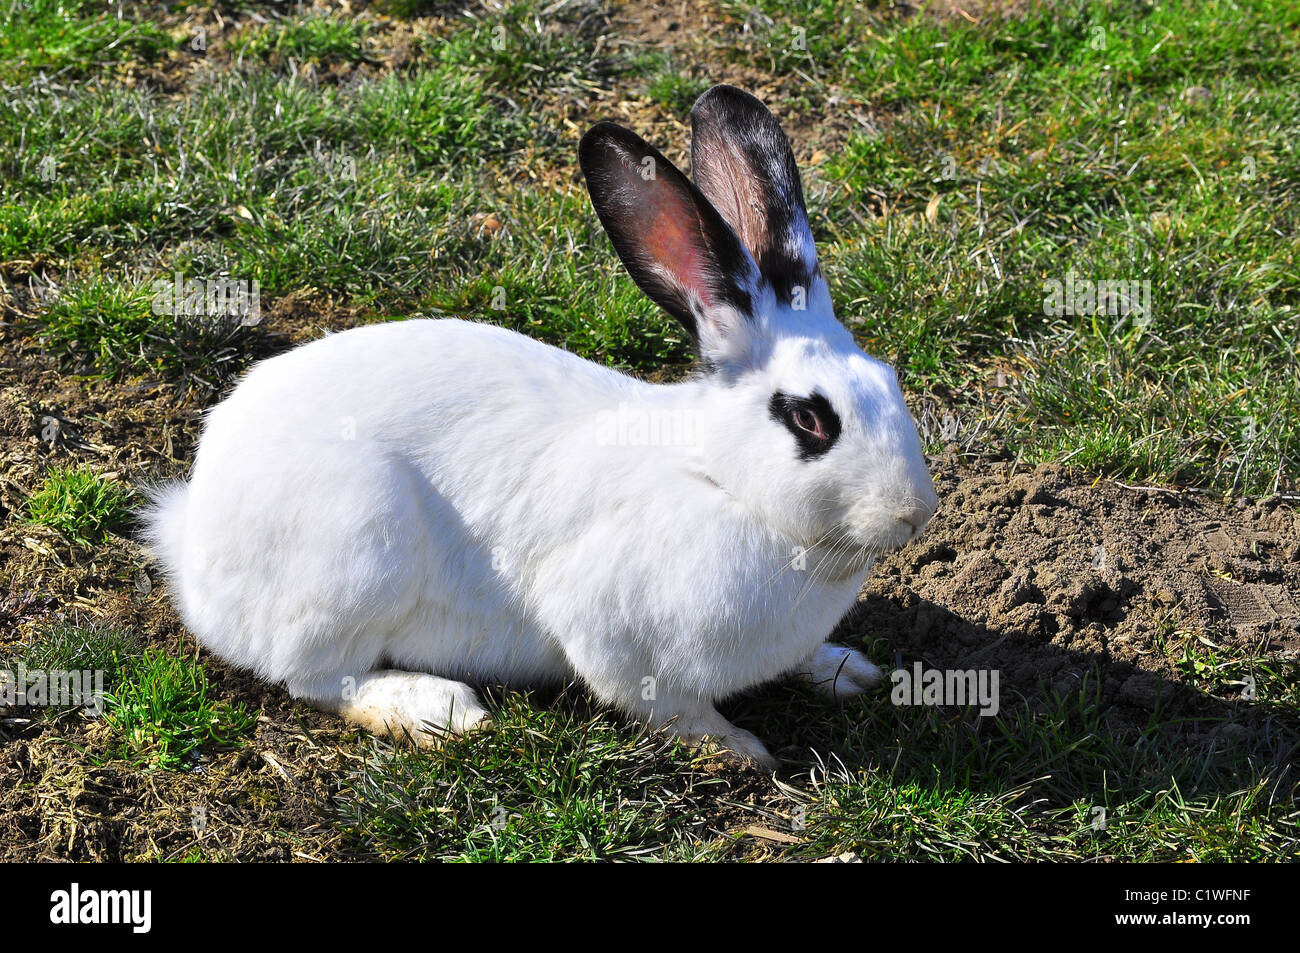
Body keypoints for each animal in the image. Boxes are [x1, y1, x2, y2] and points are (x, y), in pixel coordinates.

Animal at [142, 85, 938, 770]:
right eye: (809, 418)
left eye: (889, 379)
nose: (915, 514)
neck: (720, 479)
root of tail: (194, 533)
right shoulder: (612, 636)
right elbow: (669, 708)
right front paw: (741, 748)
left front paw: (850, 670)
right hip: (354, 541)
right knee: (315, 677)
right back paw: (437, 709)